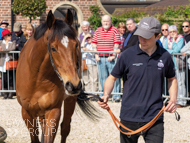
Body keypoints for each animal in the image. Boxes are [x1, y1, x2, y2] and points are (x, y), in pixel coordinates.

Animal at [16, 10, 99, 143]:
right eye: (53, 48)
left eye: (76, 45)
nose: (73, 85)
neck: (37, 79)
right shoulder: (26, 112)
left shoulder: (53, 111)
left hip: (70, 99)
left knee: (65, 128)